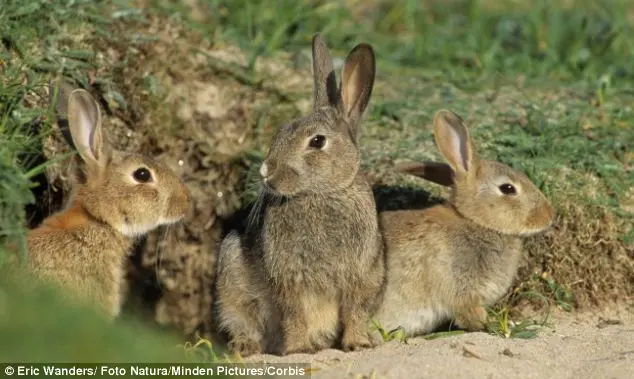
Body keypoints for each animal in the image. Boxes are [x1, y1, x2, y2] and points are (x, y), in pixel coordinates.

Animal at [214, 34, 386, 358]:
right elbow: (294, 313)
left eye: (317, 141)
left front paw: (357, 343)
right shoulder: (287, 277)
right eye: (280, 131)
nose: (266, 171)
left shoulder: (363, 273)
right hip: (231, 272)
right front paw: (297, 350)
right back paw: (246, 347)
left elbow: (356, 310)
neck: (321, 194)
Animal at [370, 110, 552, 342]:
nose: (548, 216)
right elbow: (471, 316)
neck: (474, 221)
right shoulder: (463, 291)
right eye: (508, 188)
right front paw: (494, 326)